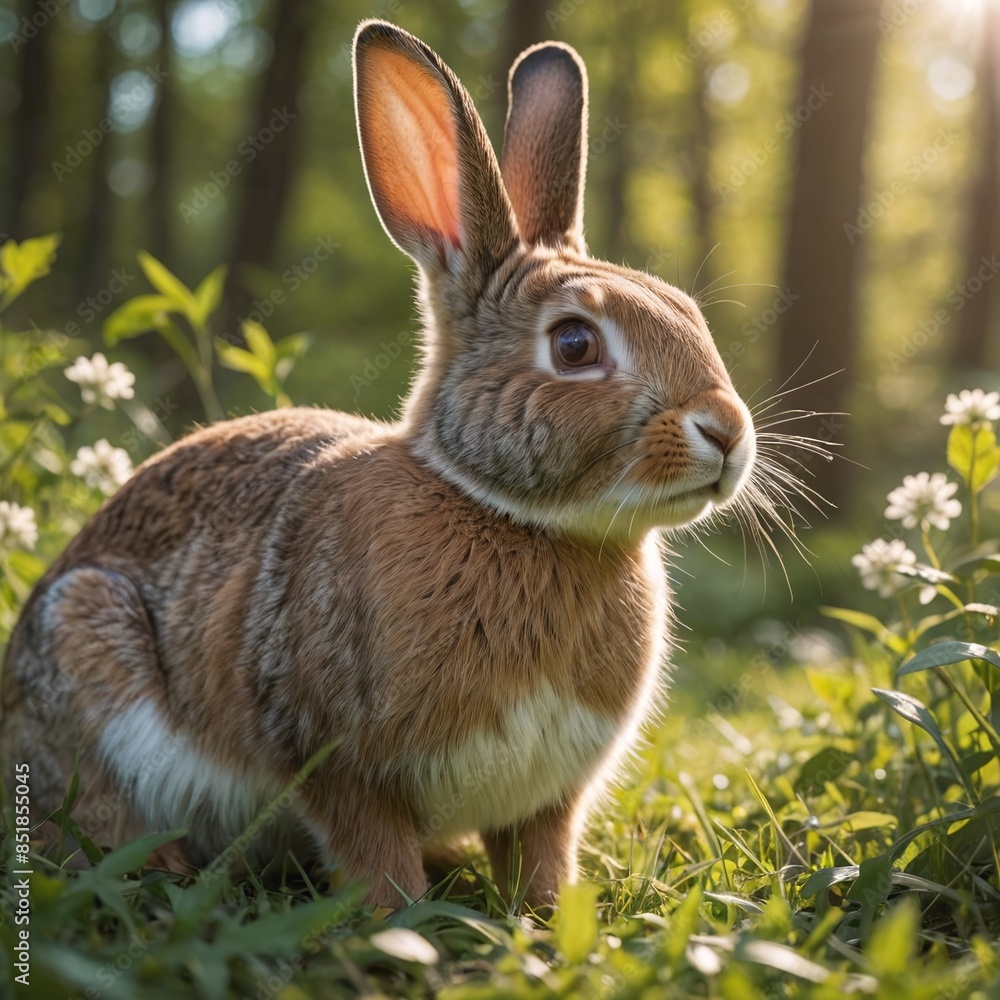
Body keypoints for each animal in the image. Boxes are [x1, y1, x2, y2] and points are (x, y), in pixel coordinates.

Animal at [0, 19, 757, 909]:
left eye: (688, 311)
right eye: (574, 344)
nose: (728, 432)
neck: (512, 515)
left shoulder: (547, 797)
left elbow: (541, 856)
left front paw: (544, 918)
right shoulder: (338, 762)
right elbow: (374, 853)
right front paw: (400, 921)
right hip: (88, 640)